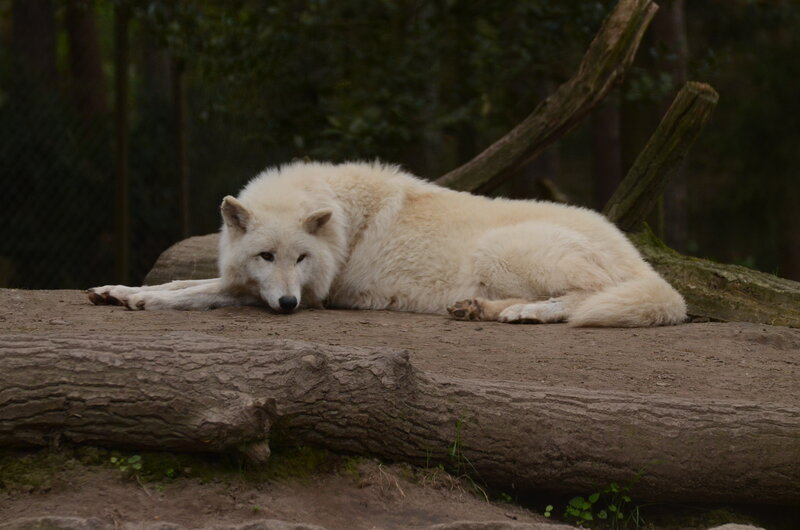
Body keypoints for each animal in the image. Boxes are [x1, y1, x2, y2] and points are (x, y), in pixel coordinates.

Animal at [88, 161, 686, 327]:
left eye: (301, 259)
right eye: (266, 256)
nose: (288, 305)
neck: (342, 224)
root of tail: (650, 268)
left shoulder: (317, 294)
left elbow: (194, 292)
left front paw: (143, 300)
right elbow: (185, 280)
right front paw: (116, 291)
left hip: (501, 248)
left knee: (581, 301)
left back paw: (525, 314)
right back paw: (477, 309)